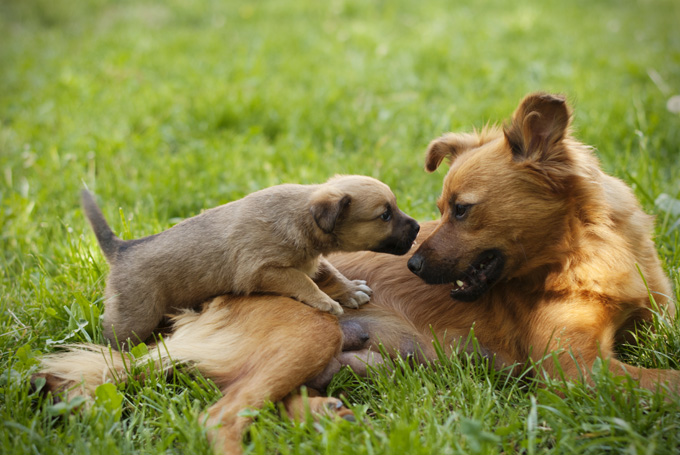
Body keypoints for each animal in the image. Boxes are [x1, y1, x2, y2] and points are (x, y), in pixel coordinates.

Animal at [81, 175, 418, 346]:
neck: (298, 217)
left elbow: (328, 272)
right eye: (385, 215)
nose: (416, 228)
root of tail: (122, 249)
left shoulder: (311, 260)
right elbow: (303, 281)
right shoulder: (264, 270)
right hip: (134, 321)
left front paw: (349, 291)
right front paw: (325, 301)